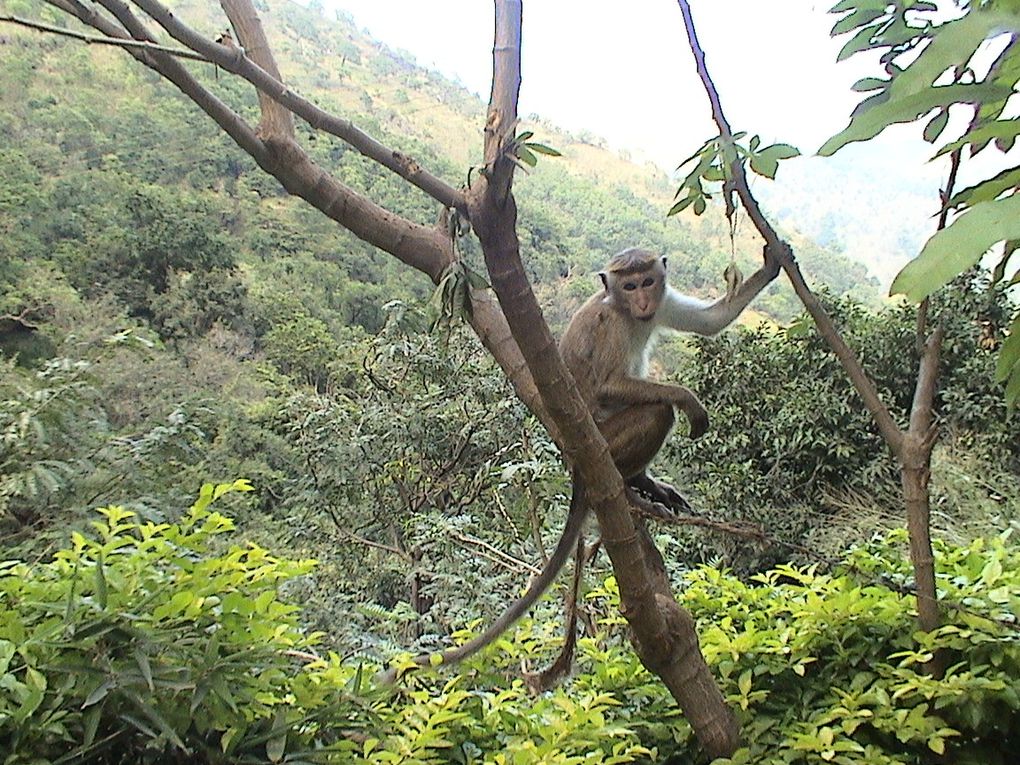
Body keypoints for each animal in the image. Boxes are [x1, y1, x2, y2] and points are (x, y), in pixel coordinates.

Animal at [387, 243, 779, 677]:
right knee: (657, 411)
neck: (626, 312)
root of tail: (577, 460)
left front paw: (775, 260)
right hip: (607, 440)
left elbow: (709, 322)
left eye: (647, 281)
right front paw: (688, 399)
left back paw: (643, 483)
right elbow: (610, 384)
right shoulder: (612, 325)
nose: (643, 301)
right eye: (629, 286)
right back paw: (629, 483)